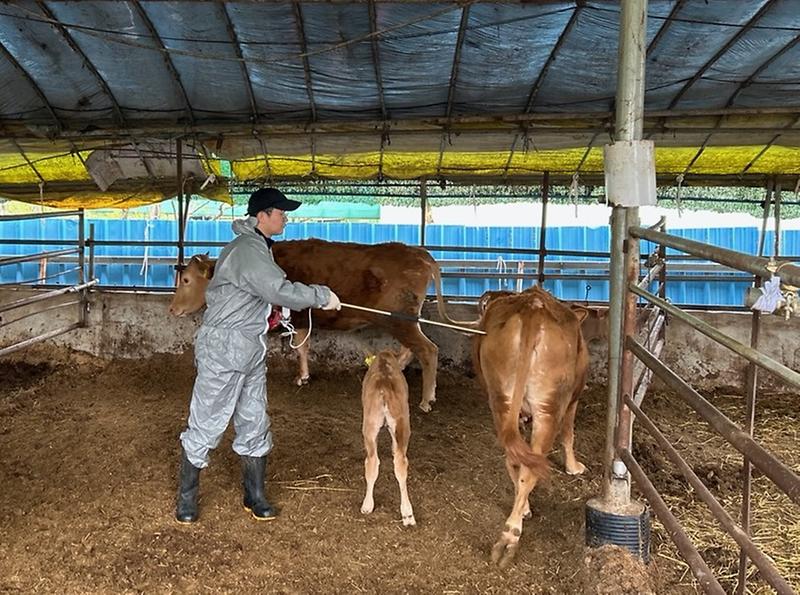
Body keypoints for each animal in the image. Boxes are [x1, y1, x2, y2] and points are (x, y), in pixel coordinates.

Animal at [167, 240, 468, 412]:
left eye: (187, 280)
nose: (172, 308)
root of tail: (420, 254)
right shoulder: (300, 318)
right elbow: (303, 347)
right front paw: (303, 375)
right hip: (404, 321)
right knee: (412, 349)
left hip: (399, 319)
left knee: (428, 350)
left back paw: (427, 399)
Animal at [472, 286, 592, 572]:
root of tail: (533, 306)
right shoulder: (573, 400)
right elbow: (569, 435)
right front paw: (574, 467)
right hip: (550, 407)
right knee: (531, 466)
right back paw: (510, 537)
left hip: (501, 400)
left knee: (515, 458)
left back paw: (519, 515)